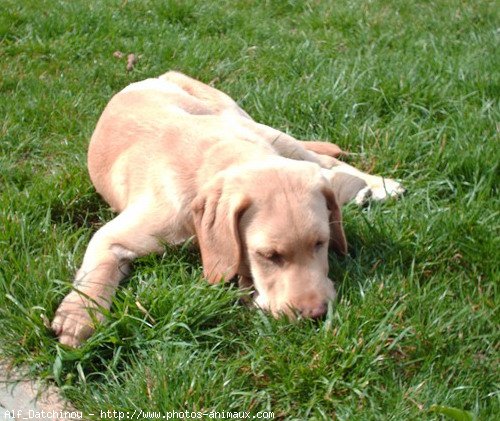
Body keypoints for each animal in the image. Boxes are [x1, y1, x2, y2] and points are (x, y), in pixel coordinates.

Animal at [51, 72, 402, 346]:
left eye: (321, 243)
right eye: (268, 255)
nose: (316, 315)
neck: (225, 154)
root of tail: (159, 76)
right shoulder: (112, 235)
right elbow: (97, 271)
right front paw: (79, 315)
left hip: (261, 128)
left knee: (327, 162)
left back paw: (379, 185)